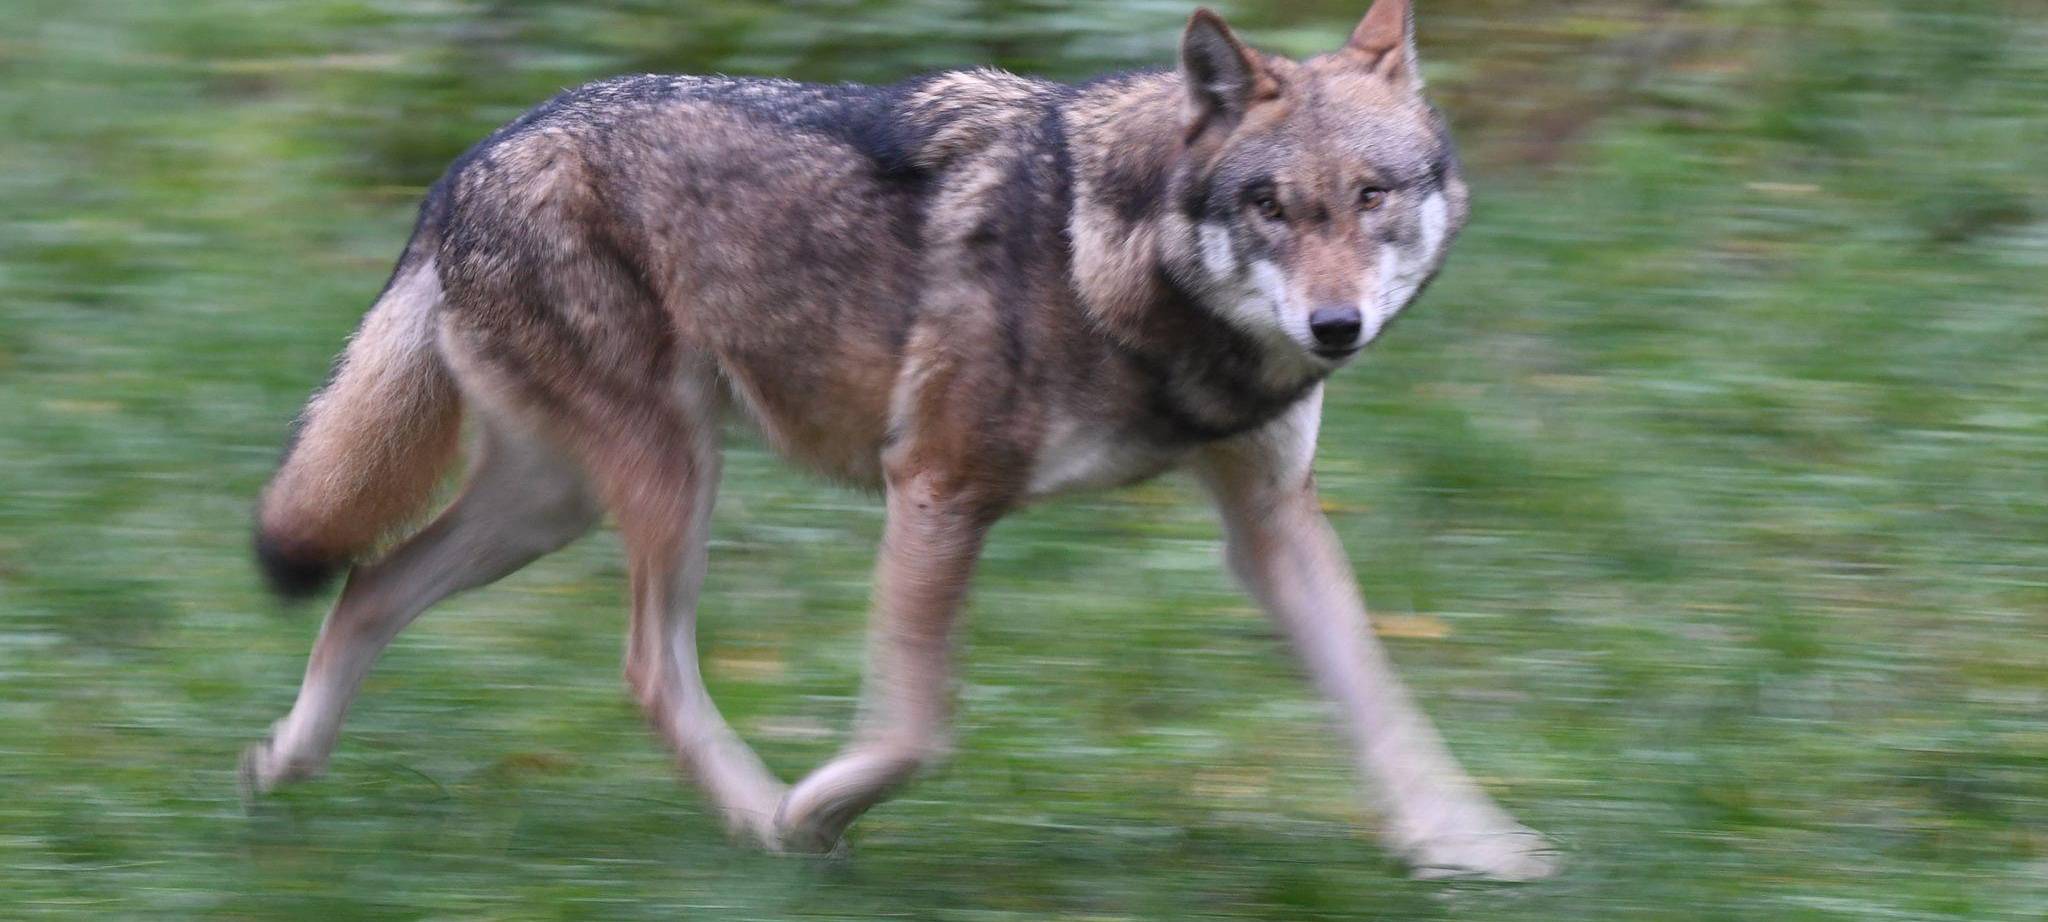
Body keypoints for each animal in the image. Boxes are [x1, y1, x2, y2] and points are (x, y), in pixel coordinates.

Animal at [242, 0, 1556, 880]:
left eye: (1372, 195)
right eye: (1271, 206)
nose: (1334, 326)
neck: (1118, 266)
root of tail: (466, 164)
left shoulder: (1271, 524)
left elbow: (1383, 705)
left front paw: (1473, 848)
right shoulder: (935, 487)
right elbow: (917, 727)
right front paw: (817, 810)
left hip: (554, 502)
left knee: (368, 585)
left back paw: (280, 770)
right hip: (666, 480)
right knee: (644, 667)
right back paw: (760, 819)